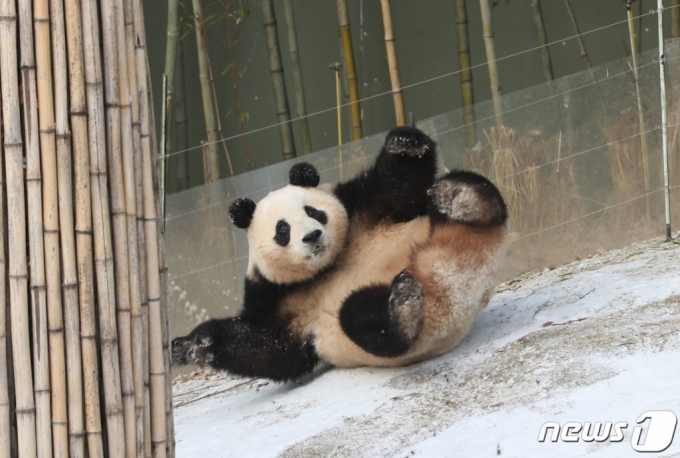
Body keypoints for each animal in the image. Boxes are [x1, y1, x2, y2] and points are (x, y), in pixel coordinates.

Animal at [173, 124, 508, 380]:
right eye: (282, 230)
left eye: (313, 211)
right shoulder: (275, 294)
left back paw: (459, 197)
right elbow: (269, 348)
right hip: (411, 319)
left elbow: (397, 189)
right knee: (363, 319)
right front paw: (192, 345)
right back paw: (403, 308)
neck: (326, 266)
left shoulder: (359, 210)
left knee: (476, 190)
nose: (312, 236)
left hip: (450, 224)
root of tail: (451, 275)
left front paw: (404, 143)